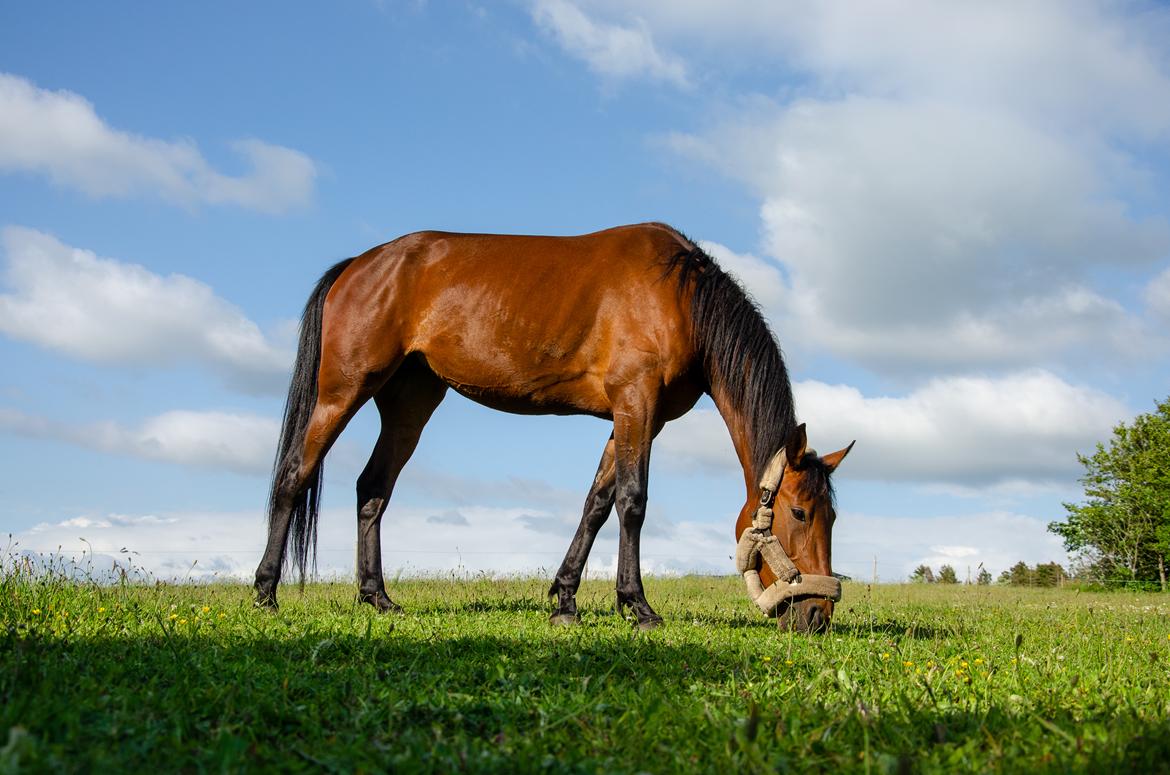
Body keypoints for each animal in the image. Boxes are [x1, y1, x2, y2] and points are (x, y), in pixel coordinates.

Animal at [253, 223, 851, 632]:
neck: (679, 296)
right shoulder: (636, 403)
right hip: (341, 393)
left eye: (832, 517)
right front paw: (637, 606)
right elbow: (633, 502)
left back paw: (377, 597)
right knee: (293, 476)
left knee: (372, 490)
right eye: (800, 512)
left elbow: (596, 504)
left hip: (409, 404)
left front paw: (566, 601)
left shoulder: (636, 419)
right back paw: (265, 593)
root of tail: (359, 264)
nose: (818, 615)